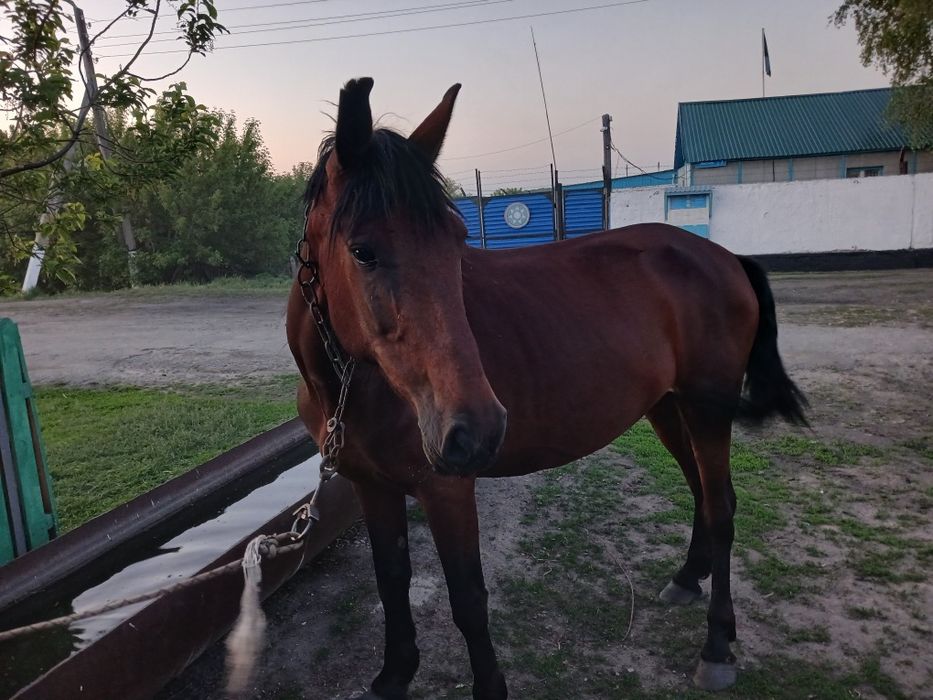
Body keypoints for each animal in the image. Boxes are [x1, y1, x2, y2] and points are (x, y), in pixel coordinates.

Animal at [286, 77, 807, 700]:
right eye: (362, 251)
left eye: (457, 241)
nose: (478, 429)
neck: (354, 388)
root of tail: (724, 257)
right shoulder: (372, 487)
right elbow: (391, 580)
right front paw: (394, 675)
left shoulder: (447, 490)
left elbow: (467, 598)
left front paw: (488, 686)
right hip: (669, 408)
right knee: (704, 494)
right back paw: (686, 581)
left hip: (707, 408)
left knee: (722, 506)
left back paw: (717, 645)